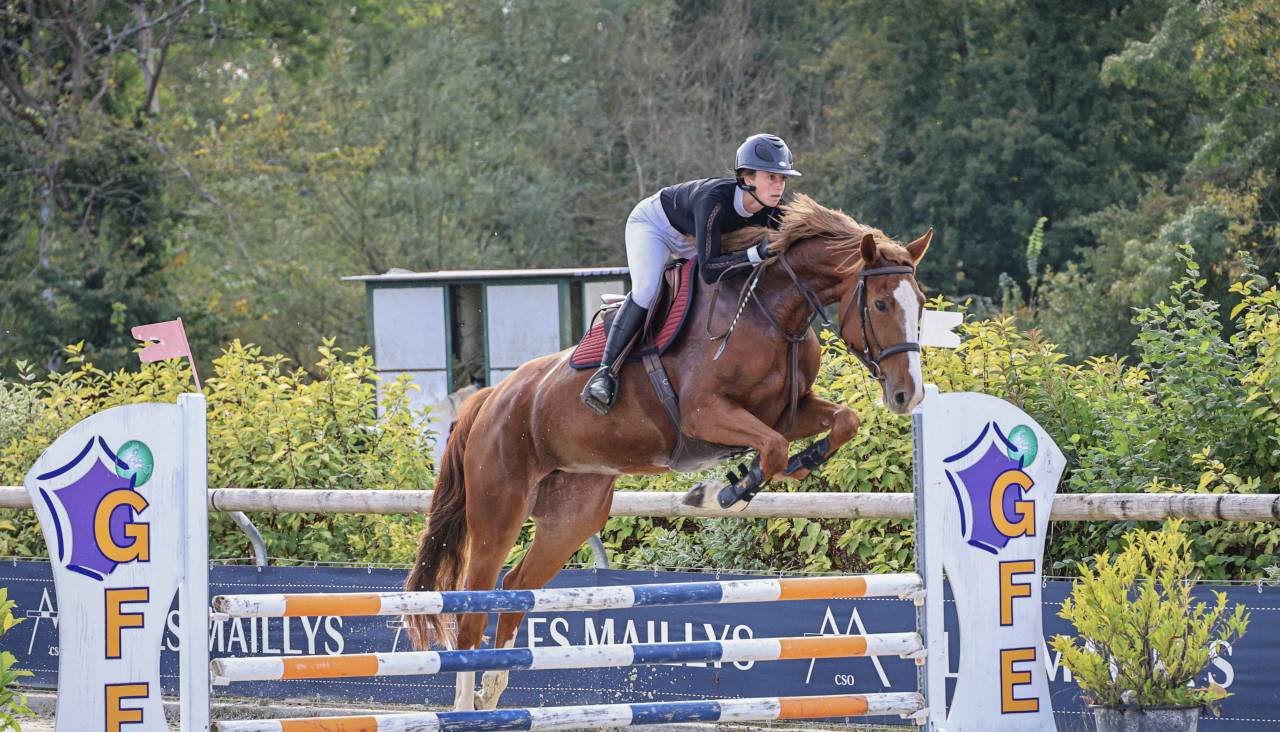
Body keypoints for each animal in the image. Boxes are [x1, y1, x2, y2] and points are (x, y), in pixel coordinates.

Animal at [405, 194, 932, 710]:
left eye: (922, 305)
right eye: (880, 303)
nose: (908, 395)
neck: (770, 310)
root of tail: (490, 398)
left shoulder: (790, 410)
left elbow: (840, 423)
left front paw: (800, 465)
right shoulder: (705, 415)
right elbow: (773, 448)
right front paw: (721, 492)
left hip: (570, 516)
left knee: (515, 590)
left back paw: (494, 689)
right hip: (499, 510)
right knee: (472, 608)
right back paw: (468, 702)